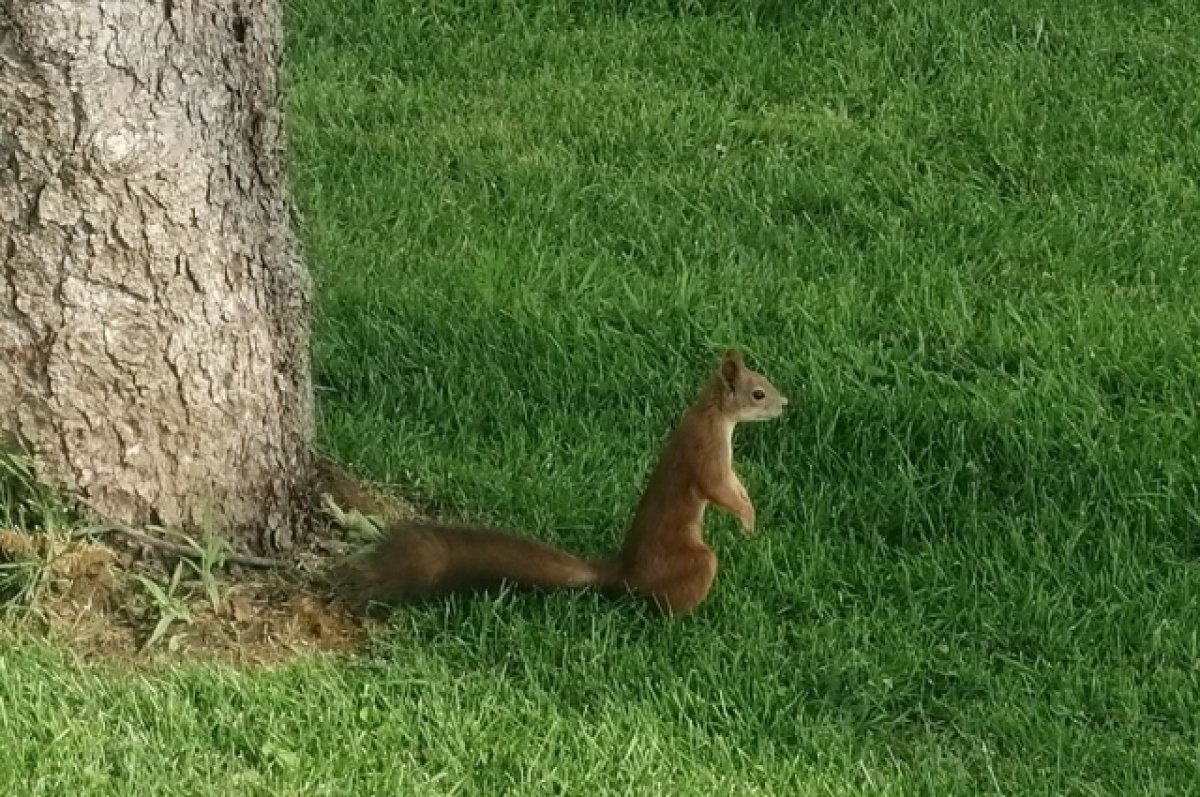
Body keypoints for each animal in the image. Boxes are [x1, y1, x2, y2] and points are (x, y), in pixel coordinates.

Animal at [345, 348, 787, 614]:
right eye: (758, 393)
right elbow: (718, 487)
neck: (711, 414)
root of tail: (626, 571)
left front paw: (749, 508)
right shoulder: (706, 451)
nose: (785, 404)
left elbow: (733, 485)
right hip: (692, 561)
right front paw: (747, 518)